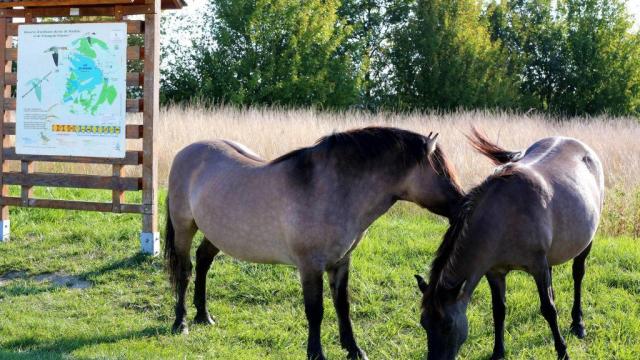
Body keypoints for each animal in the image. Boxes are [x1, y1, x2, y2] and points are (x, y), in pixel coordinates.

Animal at [166, 127, 464, 360]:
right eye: (443, 173)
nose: (464, 206)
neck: (331, 189)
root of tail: (186, 152)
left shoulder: (341, 262)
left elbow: (342, 306)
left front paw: (354, 349)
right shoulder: (310, 266)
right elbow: (315, 310)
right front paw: (316, 353)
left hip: (217, 232)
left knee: (203, 261)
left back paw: (203, 315)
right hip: (184, 228)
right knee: (185, 271)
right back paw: (181, 322)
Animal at [416, 129, 604, 360]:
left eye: (447, 326)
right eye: (424, 324)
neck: (503, 216)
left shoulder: (537, 267)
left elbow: (548, 310)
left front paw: (562, 351)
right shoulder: (494, 272)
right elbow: (499, 310)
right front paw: (498, 352)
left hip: (586, 241)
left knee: (578, 274)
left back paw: (578, 323)